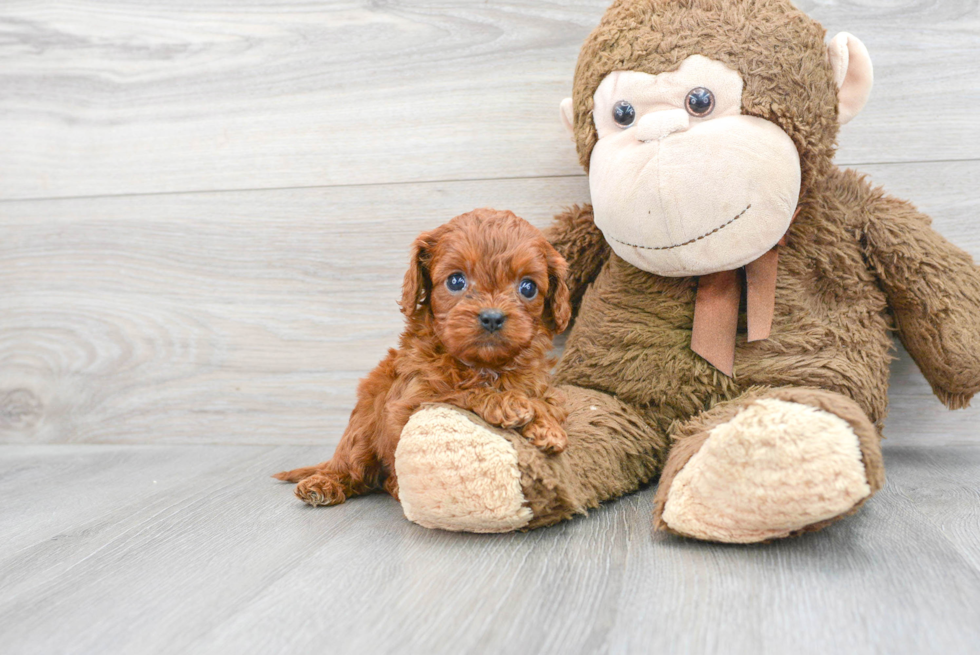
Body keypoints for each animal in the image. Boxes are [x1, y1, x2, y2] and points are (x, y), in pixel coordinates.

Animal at [272, 210, 572, 508]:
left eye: (528, 287)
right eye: (456, 281)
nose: (492, 317)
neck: (484, 366)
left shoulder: (543, 387)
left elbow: (548, 403)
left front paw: (547, 426)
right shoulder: (412, 403)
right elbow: (459, 393)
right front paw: (507, 403)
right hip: (361, 429)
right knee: (354, 470)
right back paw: (325, 484)